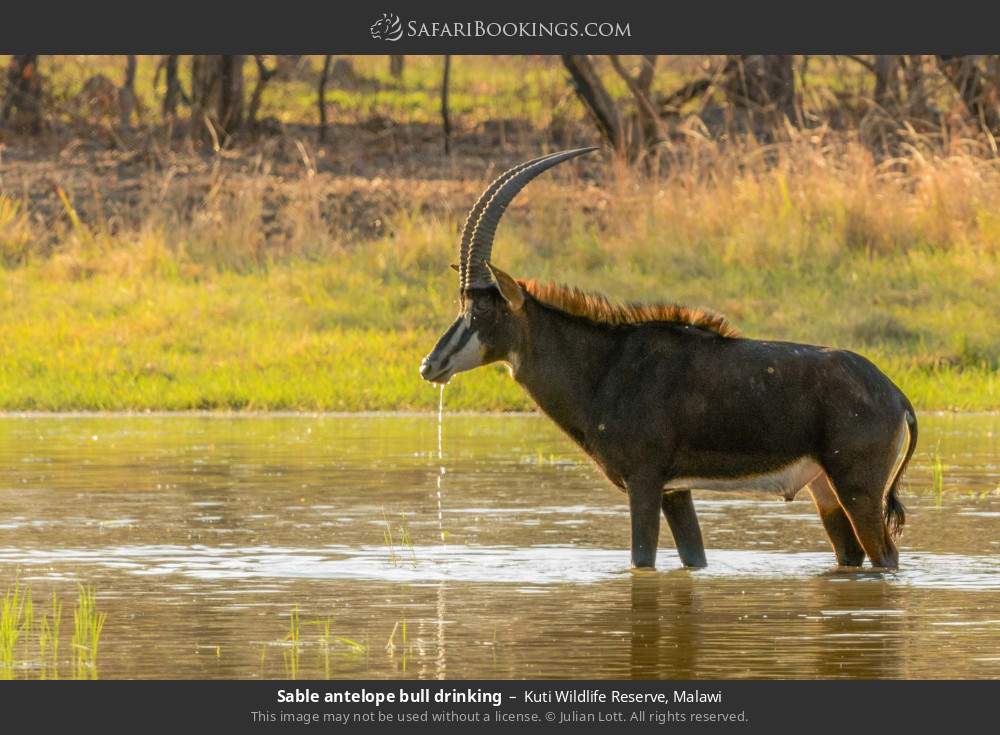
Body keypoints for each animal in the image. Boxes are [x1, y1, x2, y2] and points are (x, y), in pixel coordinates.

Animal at [419, 147, 917, 571]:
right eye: (462, 304)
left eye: (482, 311)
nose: (430, 365)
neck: (604, 365)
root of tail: (896, 396)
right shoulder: (676, 490)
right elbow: (693, 559)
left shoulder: (644, 480)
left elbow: (641, 559)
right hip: (824, 489)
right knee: (852, 556)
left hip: (857, 487)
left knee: (886, 557)